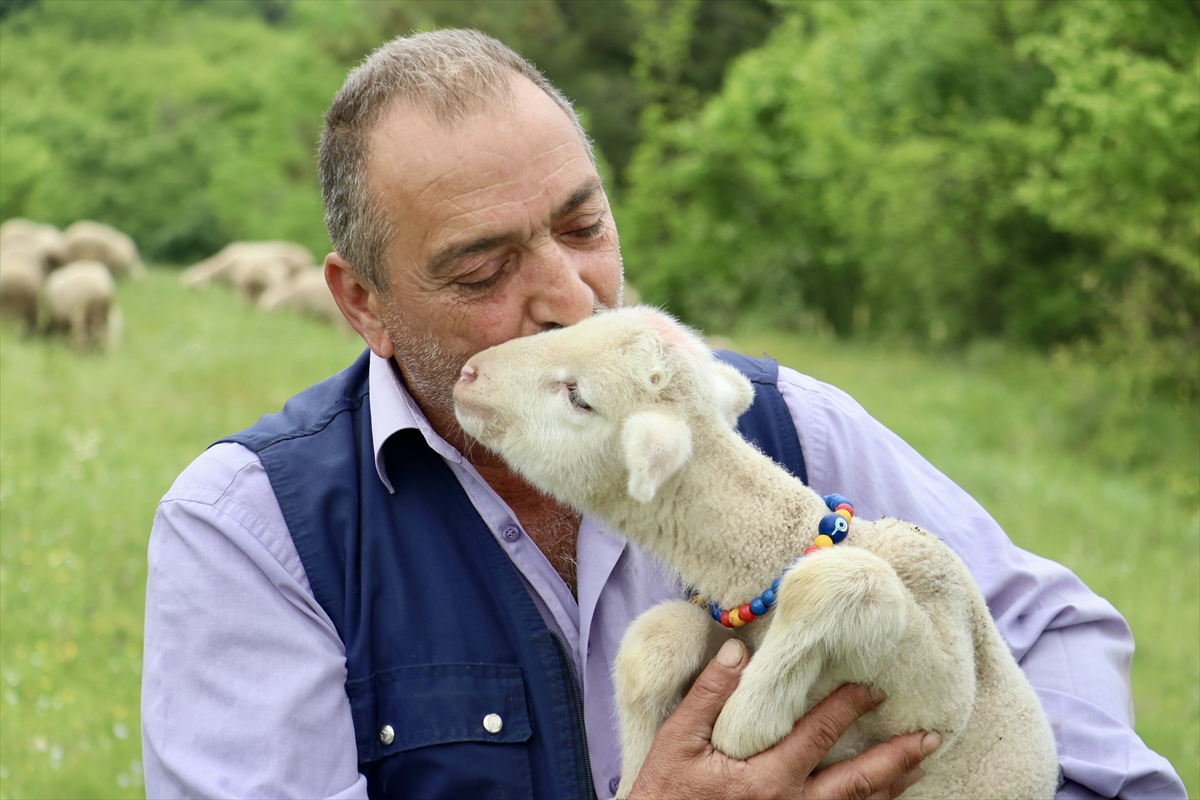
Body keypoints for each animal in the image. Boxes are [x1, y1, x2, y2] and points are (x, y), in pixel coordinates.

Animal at [451, 307, 1060, 800]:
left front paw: (748, 721)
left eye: (579, 397)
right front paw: (640, 766)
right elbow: (655, 642)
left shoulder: (942, 703)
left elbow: (838, 583)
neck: (776, 552)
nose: (469, 374)